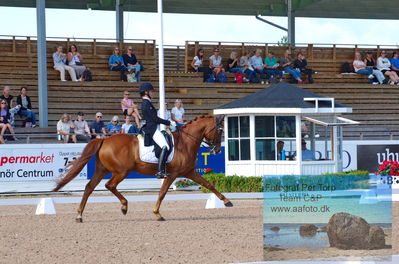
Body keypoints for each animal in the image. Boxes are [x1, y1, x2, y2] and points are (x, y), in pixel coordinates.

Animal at [53, 114, 234, 222]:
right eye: (220, 130)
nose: (217, 150)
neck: (185, 142)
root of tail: (104, 139)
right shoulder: (172, 174)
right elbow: (162, 193)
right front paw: (157, 214)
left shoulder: (188, 172)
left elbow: (209, 184)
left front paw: (227, 201)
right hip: (121, 171)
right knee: (109, 185)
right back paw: (124, 206)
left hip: (102, 169)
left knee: (89, 187)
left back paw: (79, 215)